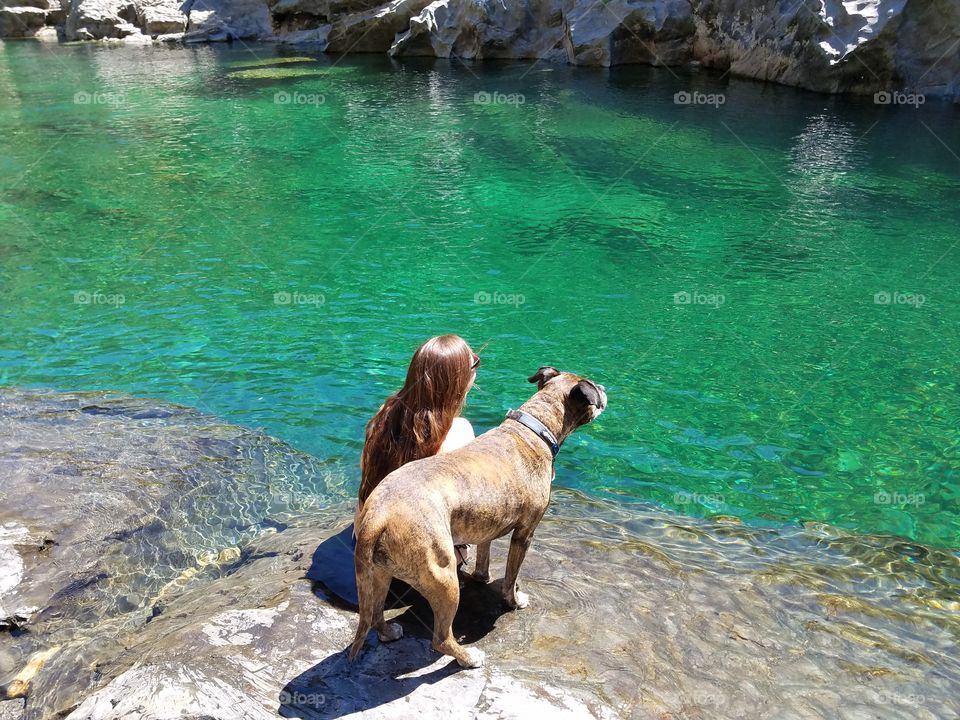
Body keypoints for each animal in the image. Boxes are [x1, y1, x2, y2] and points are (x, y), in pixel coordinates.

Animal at [350, 368, 608, 668]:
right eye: (594, 388)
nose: (604, 388)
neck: (535, 428)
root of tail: (378, 515)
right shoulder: (525, 533)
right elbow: (511, 576)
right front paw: (514, 600)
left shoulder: (486, 524)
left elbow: (484, 554)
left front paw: (482, 577)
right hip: (443, 576)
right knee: (440, 637)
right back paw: (468, 657)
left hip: (377, 573)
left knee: (375, 614)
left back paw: (389, 632)